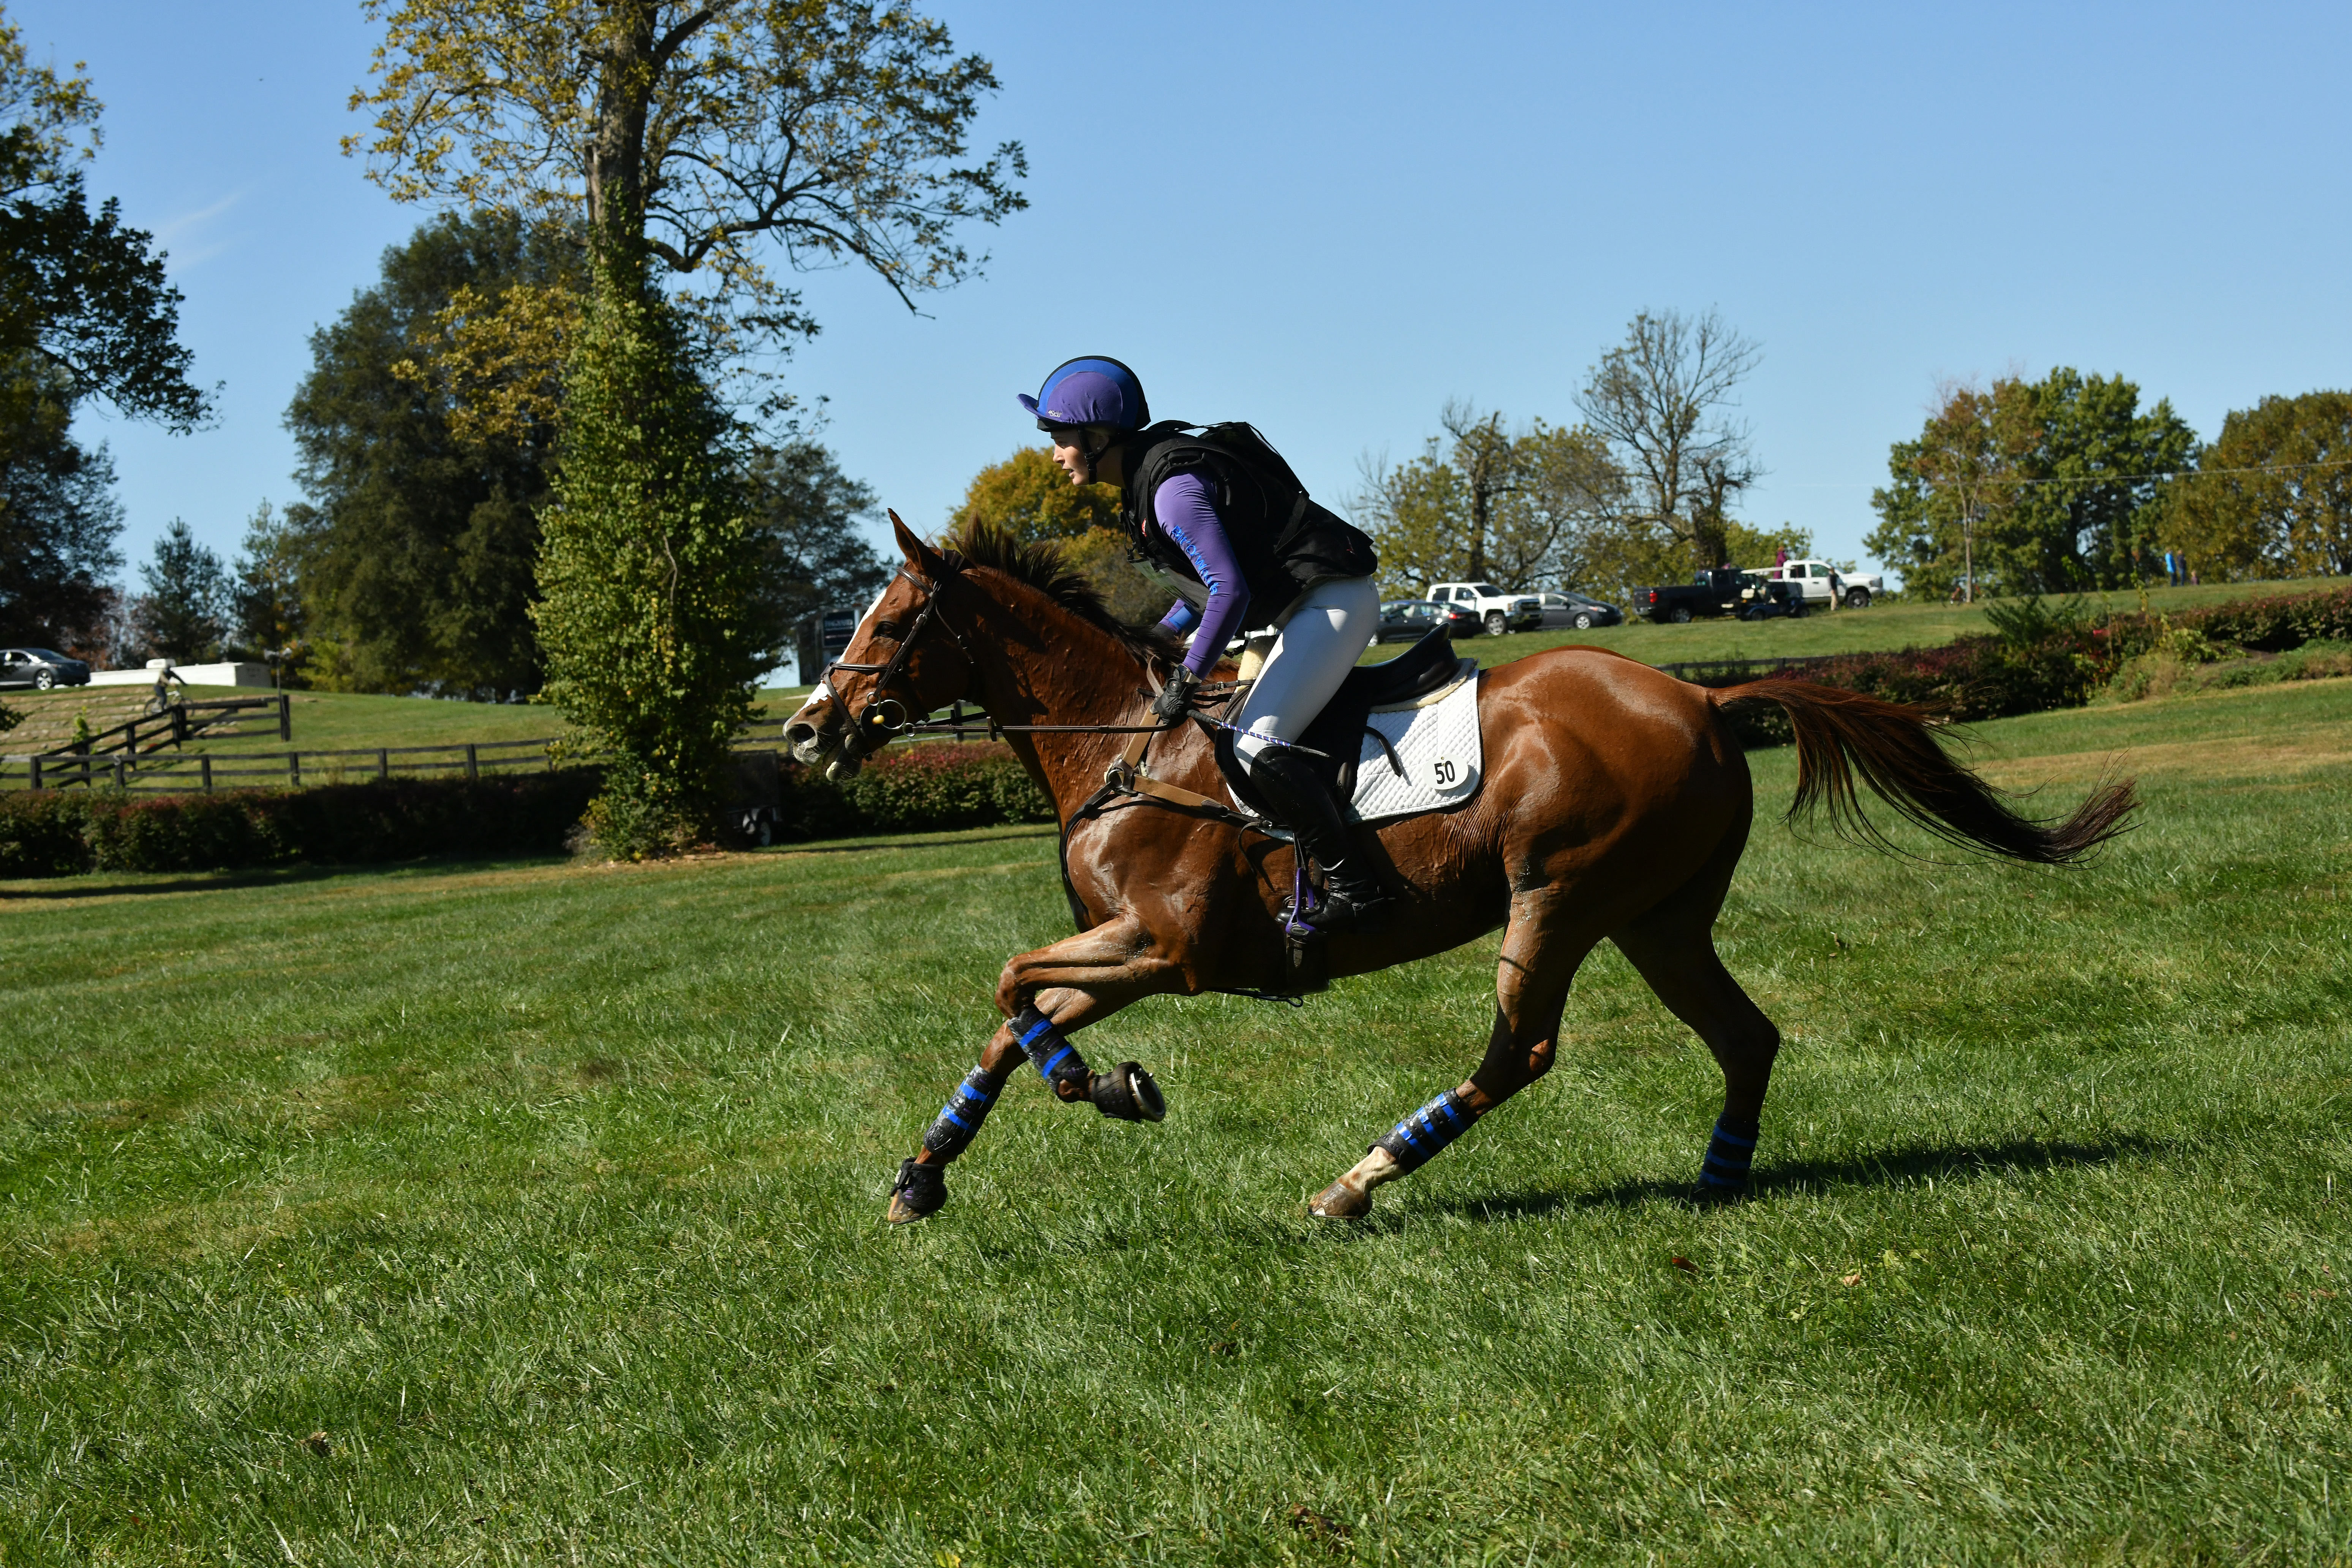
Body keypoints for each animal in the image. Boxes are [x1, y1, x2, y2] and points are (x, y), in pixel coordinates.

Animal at [786, 522, 2135, 1231]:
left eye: (890, 621)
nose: (807, 730)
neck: (1126, 740)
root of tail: (1702, 696)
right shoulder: (1131, 949)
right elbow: (1012, 1016)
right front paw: (924, 1173)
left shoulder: (1169, 948)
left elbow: (1013, 985)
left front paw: (1109, 1087)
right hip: (1659, 915)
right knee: (1744, 1034)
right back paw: (1717, 1178)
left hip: (1563, 895)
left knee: (1520, 1050)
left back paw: (1359, 1181)